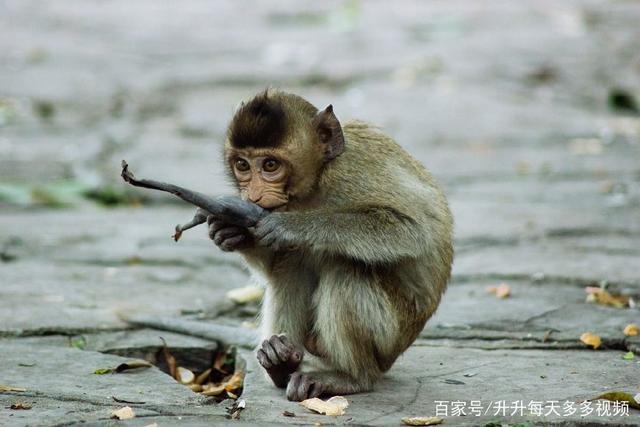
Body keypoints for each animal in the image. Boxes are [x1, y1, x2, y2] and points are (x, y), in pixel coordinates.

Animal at [208, 89, 452, 402]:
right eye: (242, 165)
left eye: (270, 165)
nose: (253, 197)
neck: (316, 182)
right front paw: (231, 232)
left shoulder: (352, 173)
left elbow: (413, 230)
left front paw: (292, 227)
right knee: (292, 265)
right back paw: (281, 364)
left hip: (390, 337)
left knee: (345, 268)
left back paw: (351, 378)